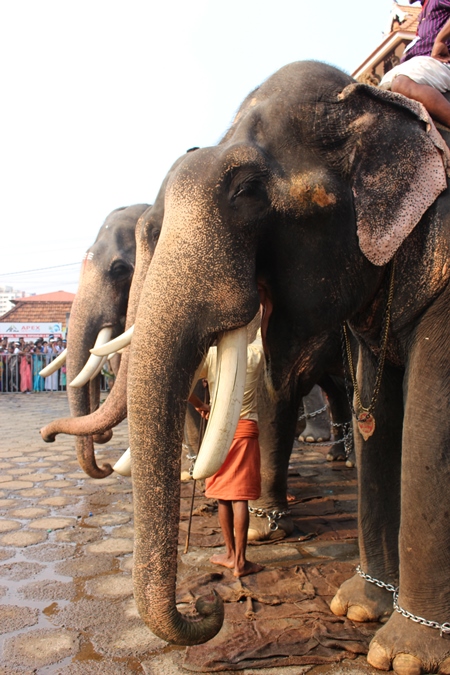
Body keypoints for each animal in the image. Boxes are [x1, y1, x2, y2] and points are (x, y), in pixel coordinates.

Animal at [125, 60, 450, 672]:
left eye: (248, 192)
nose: (208, 599)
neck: (372, 100)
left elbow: (429, 429)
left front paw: (401, 655)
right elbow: (375, 417)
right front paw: (357, 609)